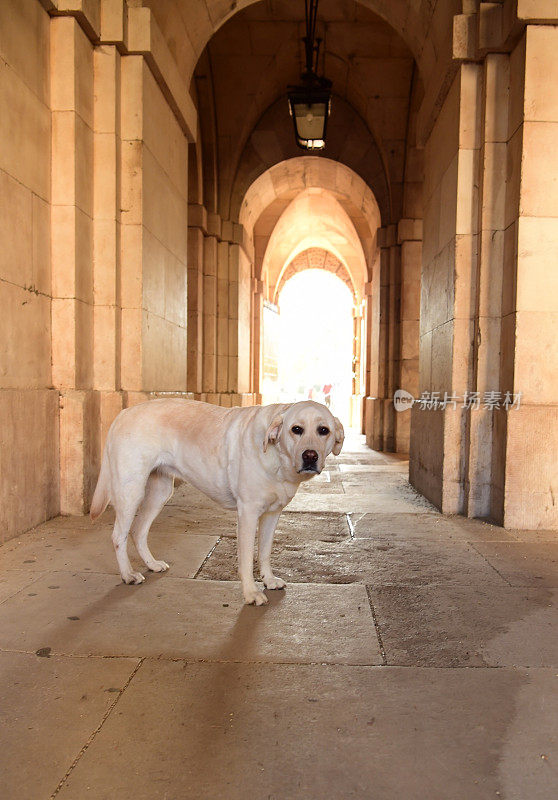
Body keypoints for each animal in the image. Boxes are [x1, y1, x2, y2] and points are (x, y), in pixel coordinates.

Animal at [91, 400, 346, 608]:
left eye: (323, 430)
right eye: (296, 429)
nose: (310, 456)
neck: (277, 459)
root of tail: (124, 412)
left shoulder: (272, 515)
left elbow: (264, 552)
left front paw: (269, 580)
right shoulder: (248, 514)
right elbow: (246, 559)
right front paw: (251, 593)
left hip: (160, 493)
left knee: (138, 531)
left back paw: (151, 564)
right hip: (131, 490)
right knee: (119, 535)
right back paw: (127, 574)